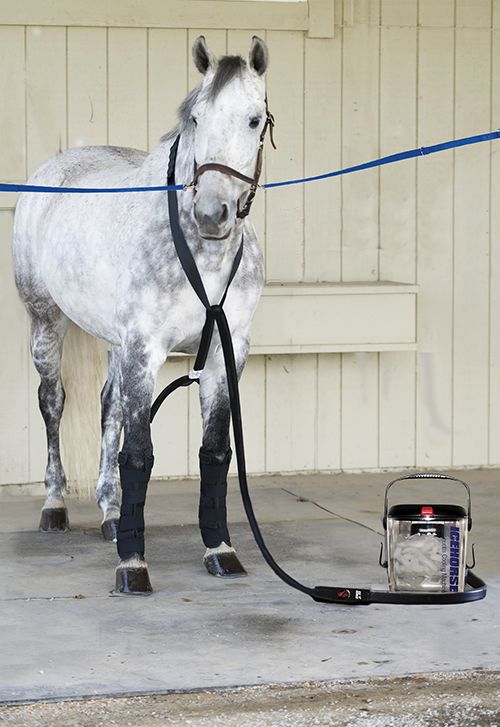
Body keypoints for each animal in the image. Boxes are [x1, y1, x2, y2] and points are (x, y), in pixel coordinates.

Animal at [12, 35, 270, 594]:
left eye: (254, 119)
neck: (203, 256)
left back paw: (110, 513)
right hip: (47, 323)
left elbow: (214, 451)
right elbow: (140, 454)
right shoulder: (144, 349)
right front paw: (133, 565)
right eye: (194, 117)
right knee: (52, 403)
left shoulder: (226, 353)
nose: (211, 213)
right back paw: (55, 506)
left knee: (109, 406)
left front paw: (221, 550)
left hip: (115, 342)